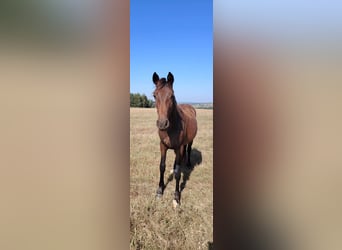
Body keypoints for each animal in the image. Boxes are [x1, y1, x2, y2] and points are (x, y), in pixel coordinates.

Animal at [152, 72, 198, 205]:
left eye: (171, 95)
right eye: (154, 95)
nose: (162, 124)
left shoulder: (179, 147)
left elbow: (178, 172)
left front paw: (176, 196)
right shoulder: (162, 146)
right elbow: (162, 166)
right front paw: (159, 191)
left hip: (189, 142)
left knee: (188, 150)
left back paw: (187, 163)